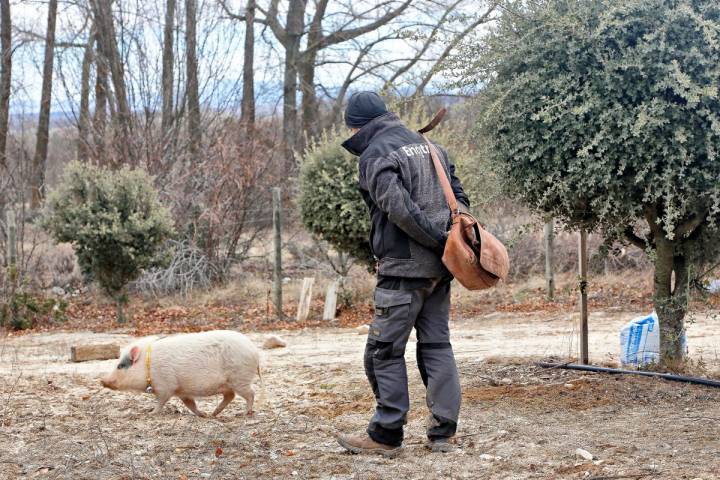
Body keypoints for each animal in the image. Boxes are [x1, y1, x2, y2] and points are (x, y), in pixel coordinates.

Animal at [100, 330, 260, 416]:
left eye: (120, 365)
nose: (102, 380)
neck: (148, 365)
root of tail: (254, 350)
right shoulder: (183, 392)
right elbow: (190, 404)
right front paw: (203, 414)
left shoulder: (165, 385)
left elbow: (161, 401)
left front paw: (151, 412)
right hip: (228, 384)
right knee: (230, 396)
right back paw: (213, 414)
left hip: (240, 378)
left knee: (251, 394)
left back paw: (243, 413)